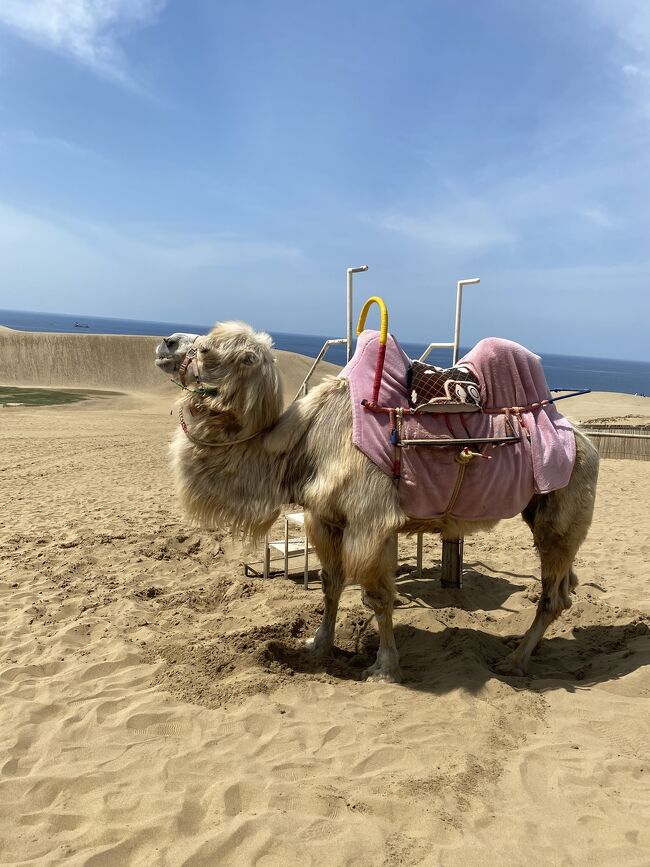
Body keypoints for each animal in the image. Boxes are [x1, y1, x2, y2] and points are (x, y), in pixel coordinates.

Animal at [168, 322, 596, 680]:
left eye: (207, 349)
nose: (167, 342)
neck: (303, 445)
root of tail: (584, 440)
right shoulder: (325, 519)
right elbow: (331, 584)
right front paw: (318, 644)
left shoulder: (370, 523)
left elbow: (377, 597)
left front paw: (385, 669)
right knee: (565, 588)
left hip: (563, 509)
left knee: (553, 594)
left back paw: (515, 661)